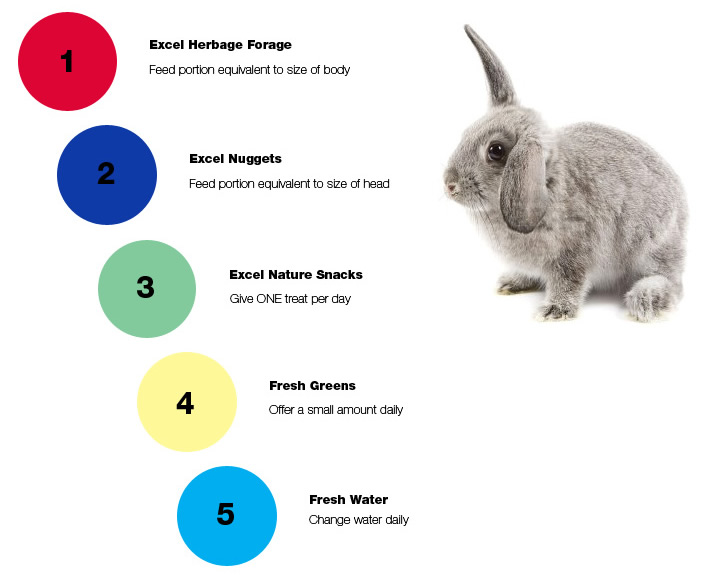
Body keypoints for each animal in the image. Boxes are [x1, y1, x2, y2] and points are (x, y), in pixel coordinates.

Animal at [444, 25, 687, 321]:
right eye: (466, 133)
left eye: (496, 150)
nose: (449, 184)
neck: (547, 181)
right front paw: (514, 282)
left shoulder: (574, 255)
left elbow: (569, 281)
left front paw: (554, 310)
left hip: (651, 248)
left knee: (671, 281)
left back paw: (647, 299)